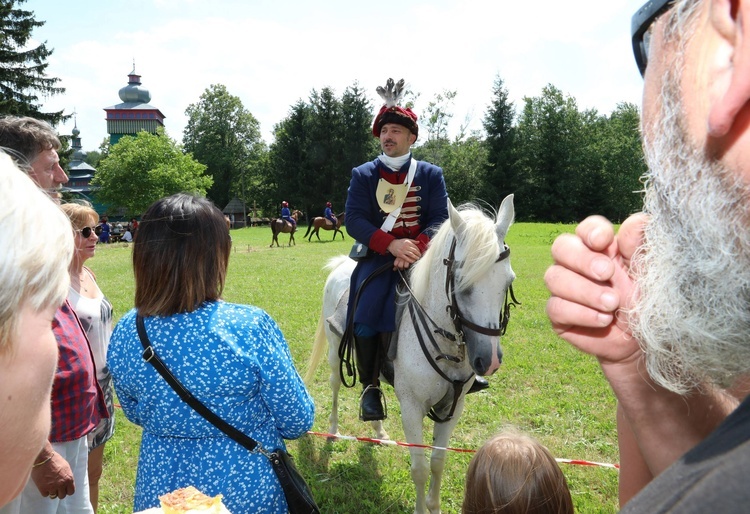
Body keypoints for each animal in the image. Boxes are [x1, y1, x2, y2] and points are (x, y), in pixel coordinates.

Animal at [306, 195, 516, 512]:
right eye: (462, 283)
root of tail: (342, 266)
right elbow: (419, 468)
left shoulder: (453, 408)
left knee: (370, 384)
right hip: (333, 354)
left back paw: (378, 428)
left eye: (507, 282)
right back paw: (332, 429)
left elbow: (438, 461)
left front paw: (435, 505)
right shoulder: (412, 408)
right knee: (334, 387)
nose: (488, 361)